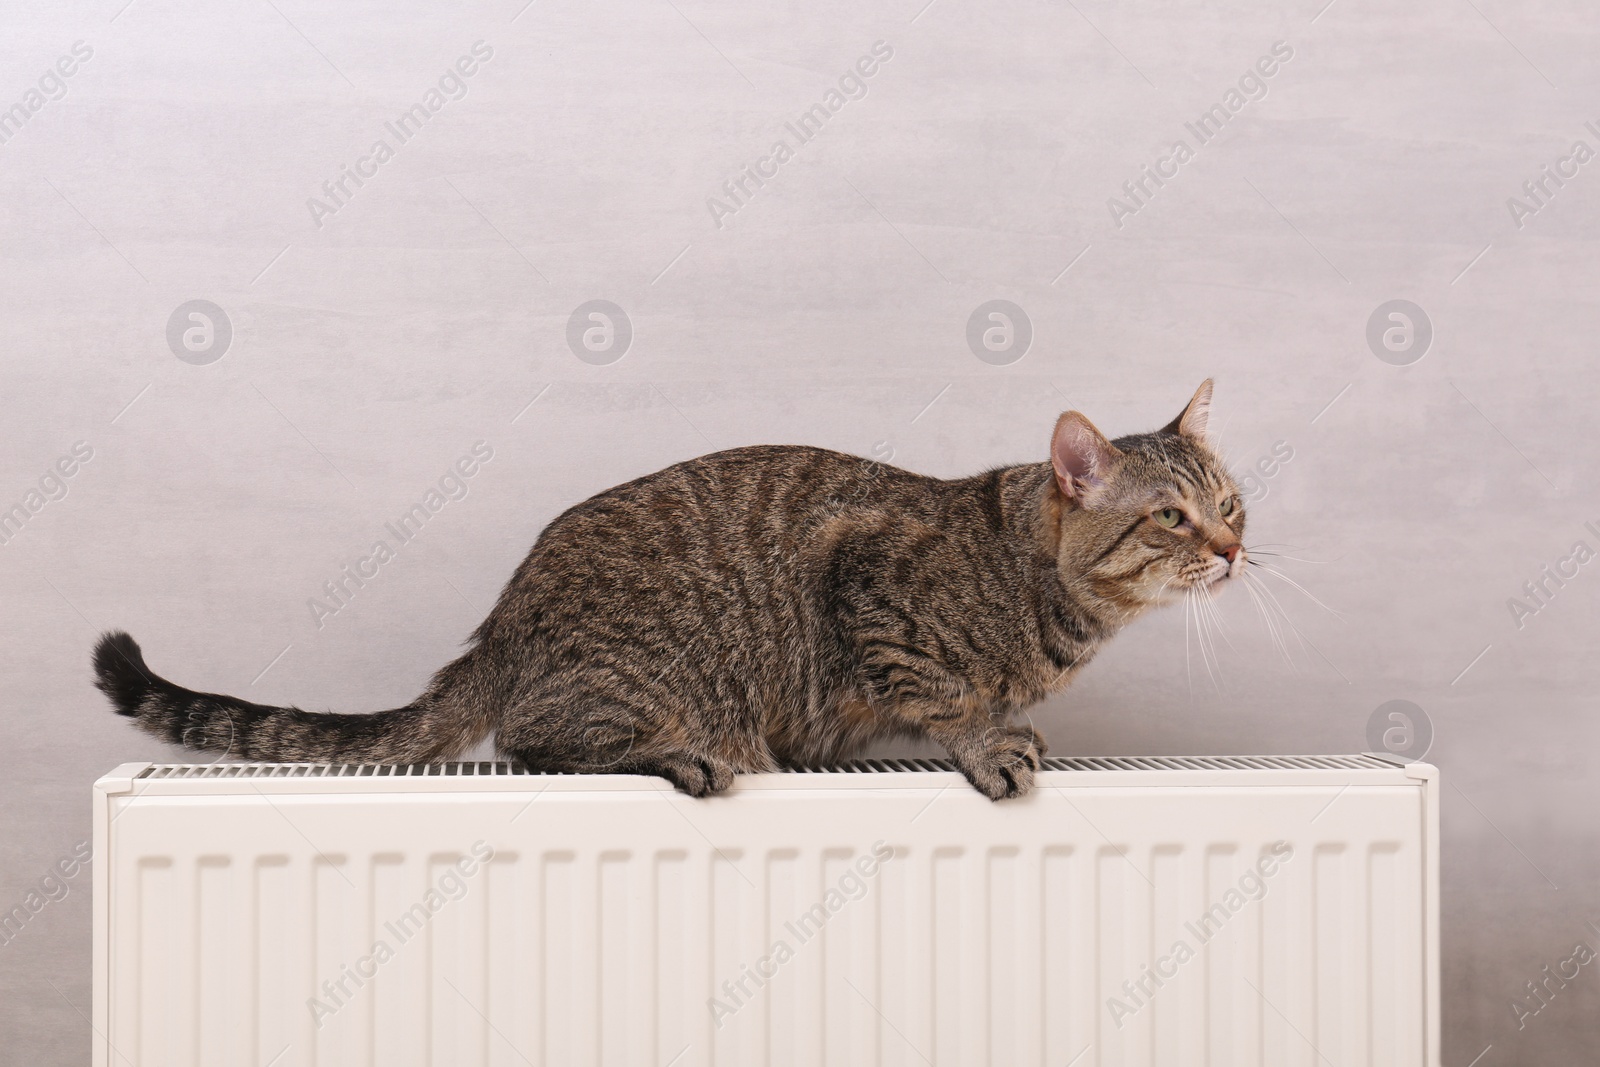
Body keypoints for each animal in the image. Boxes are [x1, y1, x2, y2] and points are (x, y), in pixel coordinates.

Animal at [93, 379, 1248, 796]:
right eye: (1169, 516)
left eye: (1232, 502)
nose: (1236, 550)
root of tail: (500, 626)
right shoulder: (860, 576)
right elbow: (941, 695)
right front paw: (981, 740)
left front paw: (1009, 723)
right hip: (643, 679)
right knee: (533, 742)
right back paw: (673, 754)